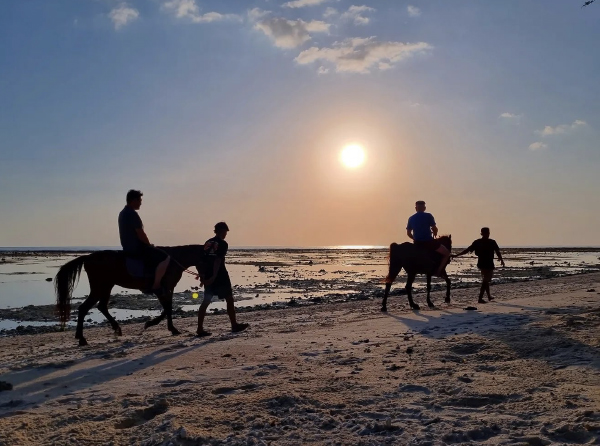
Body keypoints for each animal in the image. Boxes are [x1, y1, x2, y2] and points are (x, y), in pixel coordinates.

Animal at [56, 246, 206, 346]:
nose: (205, 280)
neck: (174, 259)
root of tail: (88, 257)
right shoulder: (160, 289)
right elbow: (167, 307)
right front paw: (165, 327)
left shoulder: (168, 289)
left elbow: (168, 307)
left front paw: (160, 325)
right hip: (100, 287)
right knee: (84, 308)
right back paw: (82, 338)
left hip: (106, 286)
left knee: (101, 306)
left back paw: (114, 329)